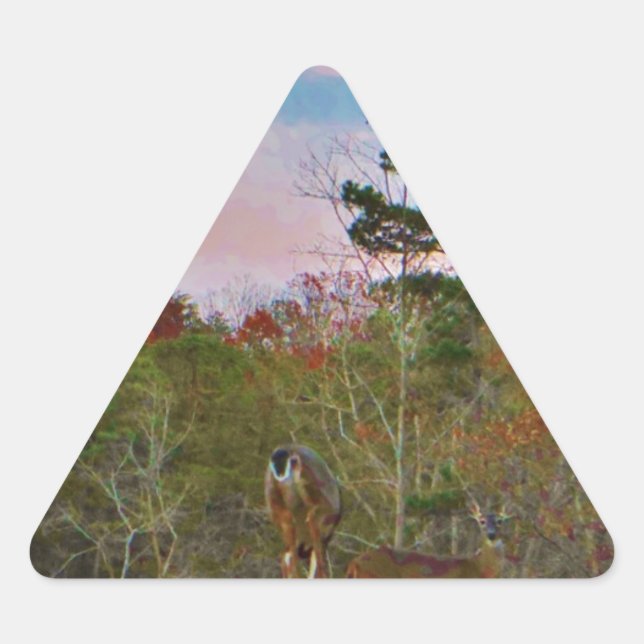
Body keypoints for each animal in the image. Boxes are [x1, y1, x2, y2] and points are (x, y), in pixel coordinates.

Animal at [265, 444, 342, 578]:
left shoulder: (305, 472)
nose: (279, 472)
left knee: (314, 517)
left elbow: (322, 506)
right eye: (276, 466)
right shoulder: (271, 476)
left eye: (282, 464)